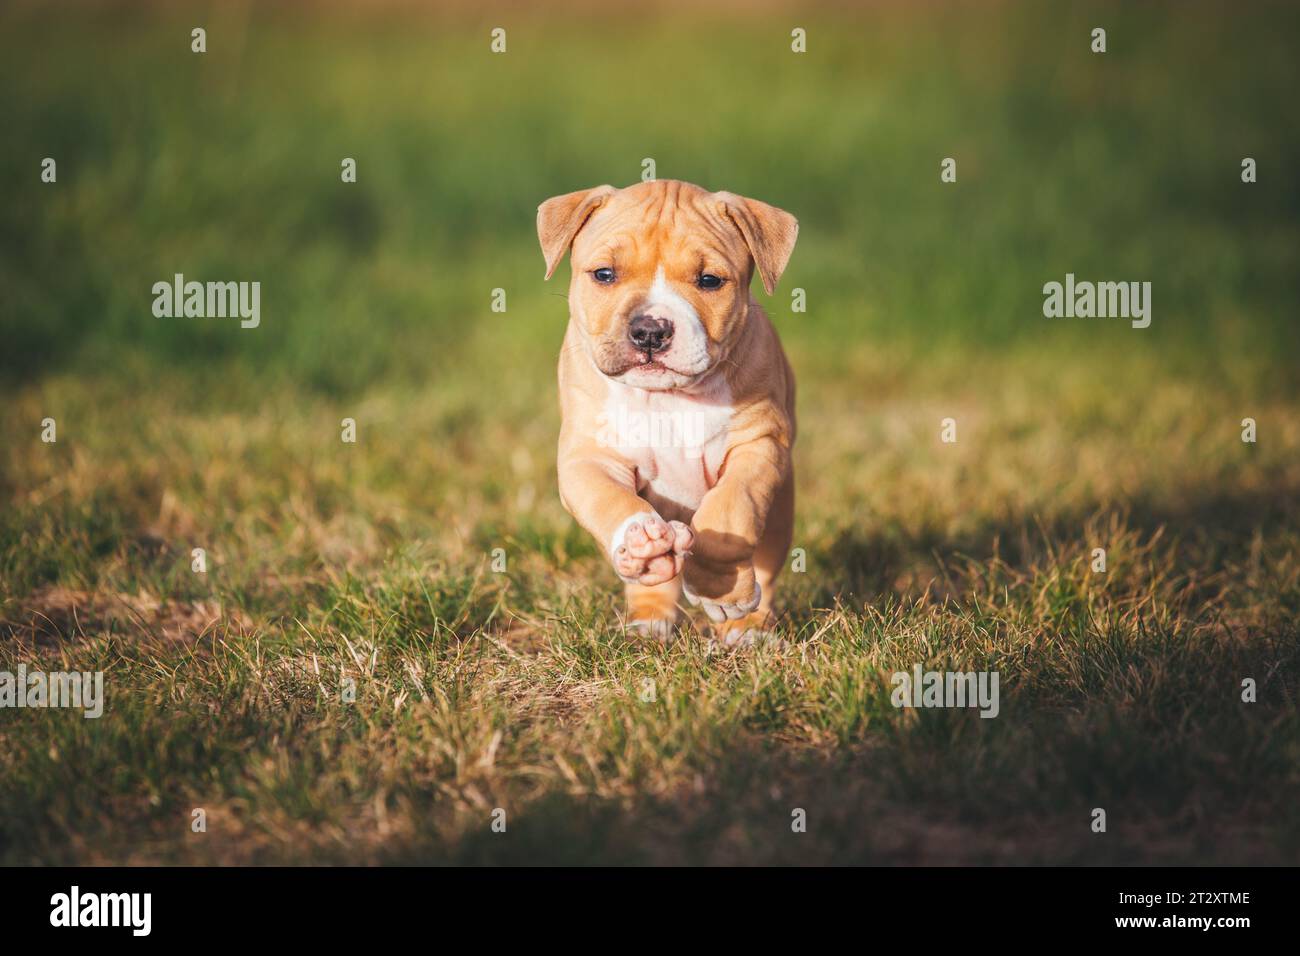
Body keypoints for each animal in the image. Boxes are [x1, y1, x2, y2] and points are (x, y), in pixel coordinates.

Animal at [535, 178, 795, 650]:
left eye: (709, 280)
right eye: (604, 274)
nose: (650, 330)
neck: (667, 399)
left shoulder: (758, 445)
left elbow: (729, 513)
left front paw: (721, 590)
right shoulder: (588, 456)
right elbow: (608, 499)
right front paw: (642, 544)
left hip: (781, 512)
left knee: (765, 568)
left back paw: (746, 627)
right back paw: (648, 616)